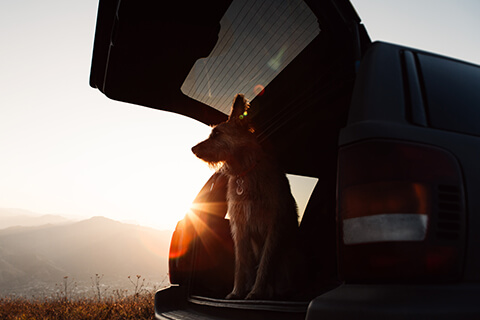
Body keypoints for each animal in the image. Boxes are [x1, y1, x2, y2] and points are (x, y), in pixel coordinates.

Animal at [192, 94, 300, 298]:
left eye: (216, 134)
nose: (193, 149)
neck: (245, 172)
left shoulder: (273, 226)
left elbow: (265, 263)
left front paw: (256, 292)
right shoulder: (240, 227)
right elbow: (241, 264)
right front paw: (237, 292)